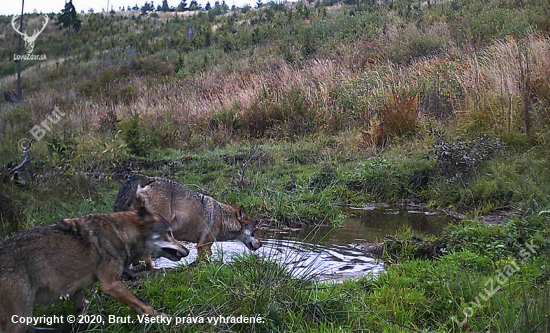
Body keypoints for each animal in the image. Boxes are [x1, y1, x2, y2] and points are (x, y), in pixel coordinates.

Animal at [0, 206, 190, 330]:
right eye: (169, 233)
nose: (187, 250)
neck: (121, 233)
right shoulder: (110, 285)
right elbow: (142, 303)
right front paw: (162, 317)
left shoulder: (76, 288)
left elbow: (82, 309)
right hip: (20, 318)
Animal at [114, 174, 264, 268]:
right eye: (254, 231)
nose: (261, 244)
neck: (222, 217)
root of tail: (148, 178)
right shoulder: (204, 246)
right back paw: (150, 268)